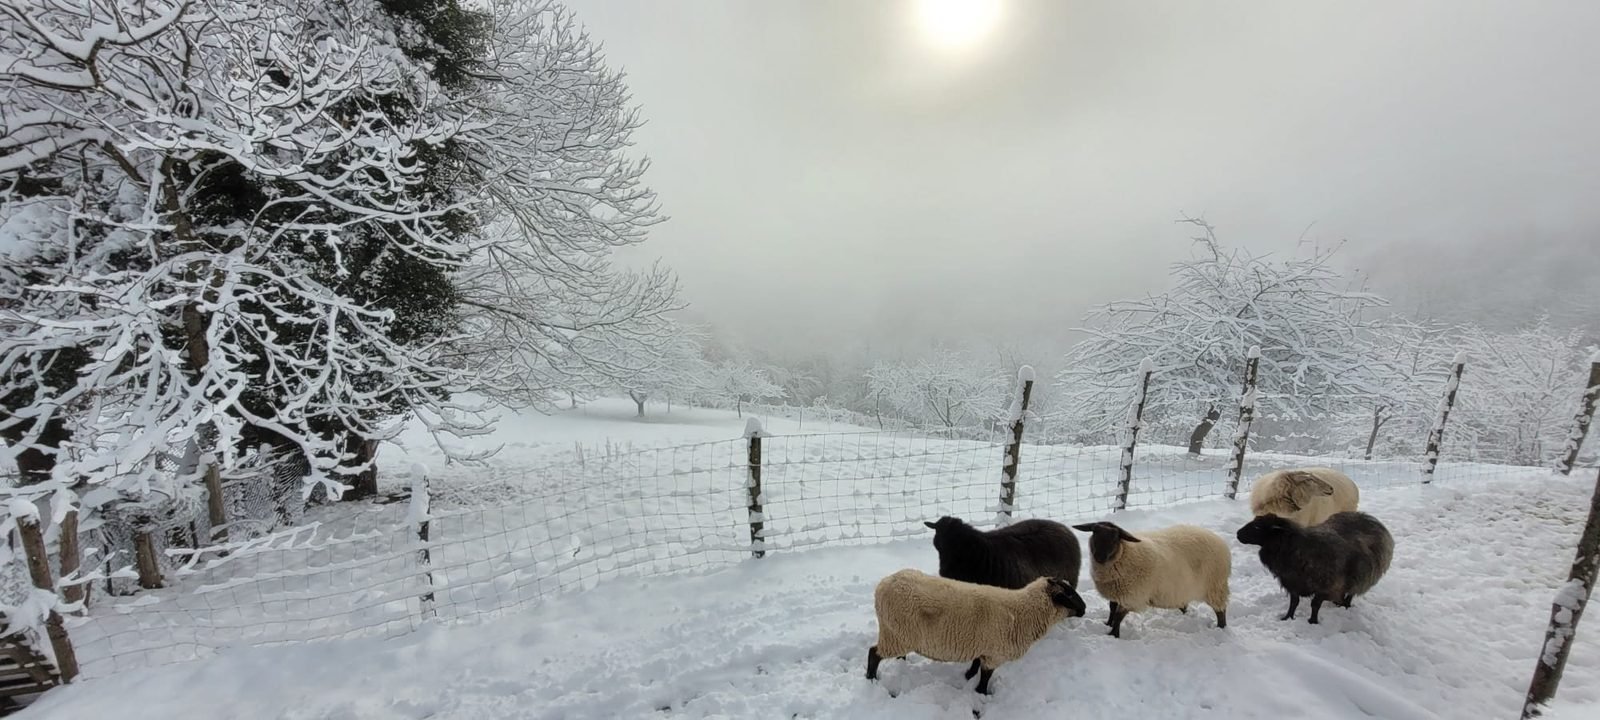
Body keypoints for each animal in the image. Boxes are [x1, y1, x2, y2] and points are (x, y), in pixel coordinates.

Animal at [866, 569, 1086, 695]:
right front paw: (982, 694)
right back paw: (871, 679)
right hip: (896, 635)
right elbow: (985, 678)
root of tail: (883, 585)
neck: (1022, 612)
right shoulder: (995, 654)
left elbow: (975, 664)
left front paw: (967, 676)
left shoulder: (983, 646)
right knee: (873, 653)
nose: (1084, 608)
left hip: (897, 633)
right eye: (1068, 595)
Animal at [1071, 521, 1231, 638]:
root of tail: (1218, 540)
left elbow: (1118, 616)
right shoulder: (1118, 593)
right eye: (1094, 533)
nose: (1100, 557)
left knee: (1221, 610)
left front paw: (1113, 634)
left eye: (1115, 538)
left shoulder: (1132, 595)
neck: (1124, 554)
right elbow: (1112, 609)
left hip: (1215, 586)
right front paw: (1107, 625)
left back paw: (1221, 628)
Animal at [1235, 511, 1393, 624]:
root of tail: (1367, 517)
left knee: (1351, 593)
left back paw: (1345, 606)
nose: (1237, 534)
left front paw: (1312, 621)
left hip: (1362, 575)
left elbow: (1315, 605)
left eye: (1257, 526)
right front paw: (1287, 618)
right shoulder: (1293, 583)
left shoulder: (1326, 586)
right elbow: (1294, 603)